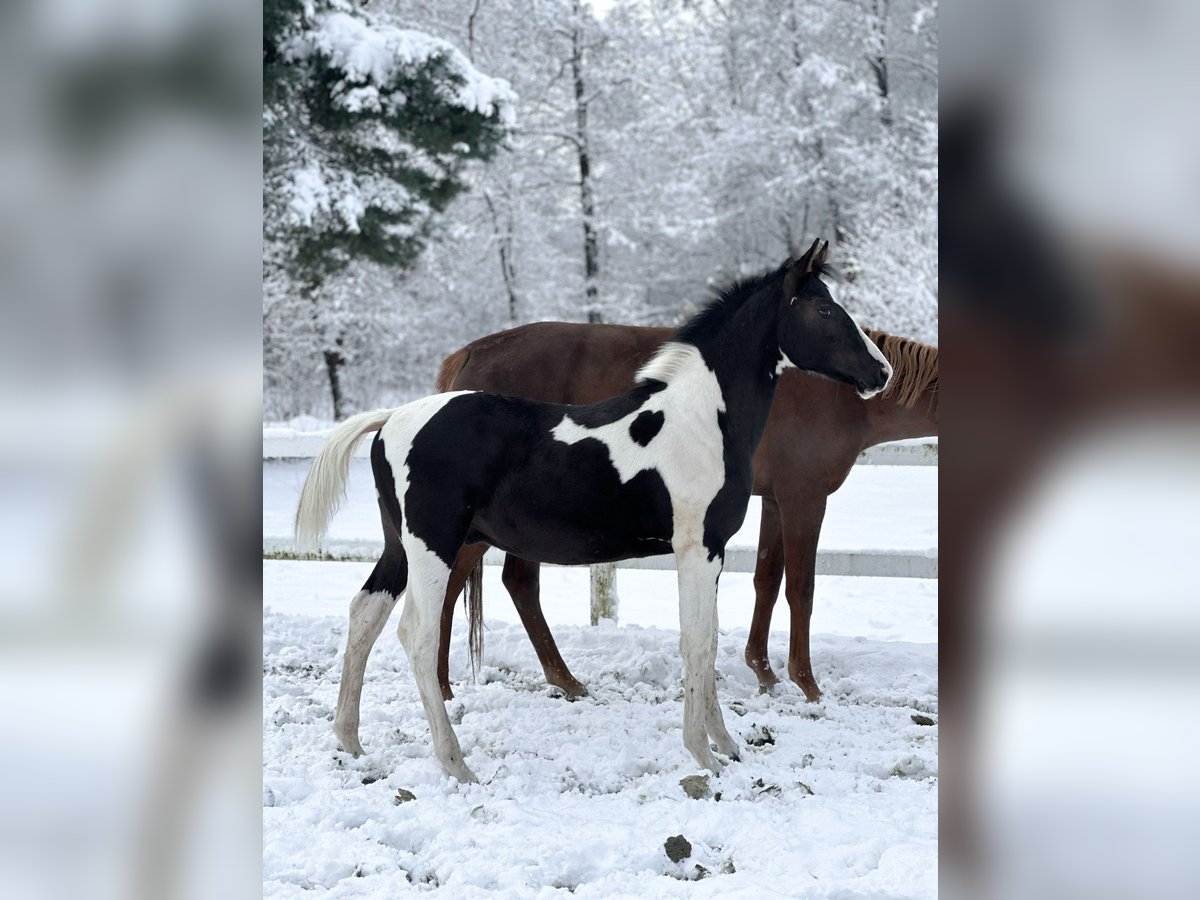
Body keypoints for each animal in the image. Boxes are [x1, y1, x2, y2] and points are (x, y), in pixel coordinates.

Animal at [430, 323, 937, 703]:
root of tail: (469, 356)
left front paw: (763, 672)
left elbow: (767, 581)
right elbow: (801, 590)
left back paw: (563, 681)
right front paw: (807, 684)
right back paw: (446, 686)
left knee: (510, 583)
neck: (833, 394)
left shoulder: (775, 501)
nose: (879, 374)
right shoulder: (804, 499)